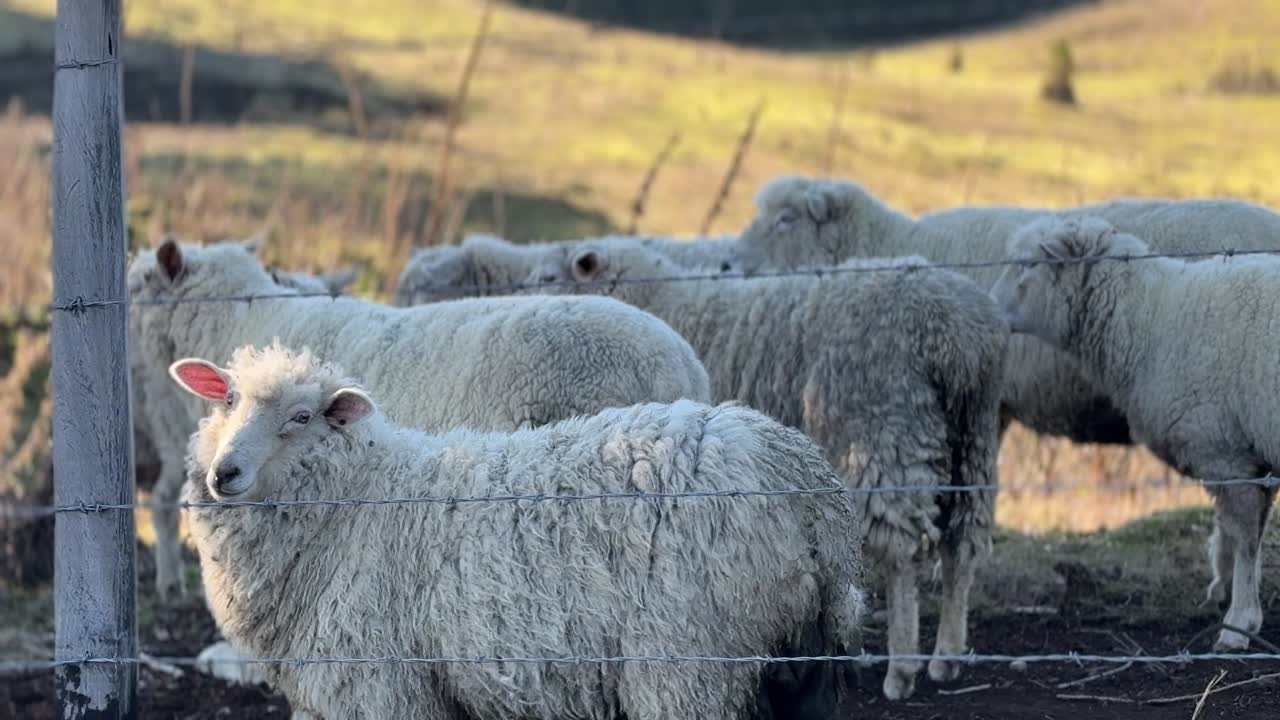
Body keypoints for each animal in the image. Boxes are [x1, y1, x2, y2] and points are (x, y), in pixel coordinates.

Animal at [171, 342, 865, 720]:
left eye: (302, 417)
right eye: (226, 399)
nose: (223, 473)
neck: (361, 496)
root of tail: (800, 471)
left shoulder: (382, 681)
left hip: (690, 660)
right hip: (799, 660)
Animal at [520, 239, 1009, 700]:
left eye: (549, 276)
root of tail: (955, 334)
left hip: (885, 427)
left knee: (903, 554)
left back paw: (902, 669)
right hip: (974, 436)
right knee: (963, 543)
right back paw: (947, 656)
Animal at [990, 215, 1280, 651]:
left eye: (1028, 264)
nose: (987, 307)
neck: (1148, 318)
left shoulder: (1223, 449)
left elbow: (1244, 535)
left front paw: (1238, 624)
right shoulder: (1251, 453)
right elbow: (1250, 533)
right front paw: (1232, 597)